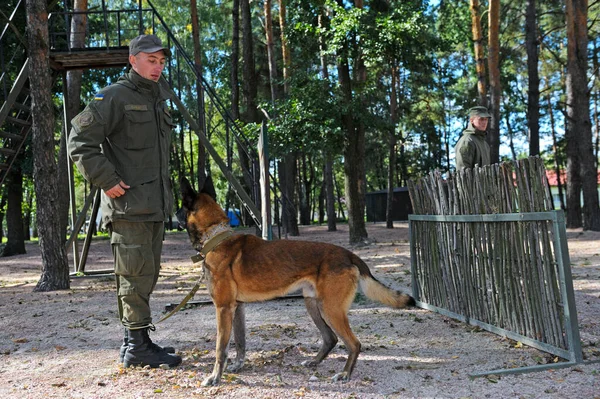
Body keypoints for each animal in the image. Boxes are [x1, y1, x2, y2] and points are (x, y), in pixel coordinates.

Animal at [177, 177, 412, 386]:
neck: (215, 237)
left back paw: (345, 374)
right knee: (331, 339)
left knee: (354, 343)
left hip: (330, 309)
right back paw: (314, 362)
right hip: (314, 305)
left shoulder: (223, 308)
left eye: (181, 206)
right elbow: (240, 342)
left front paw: (215, 378)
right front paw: (237, 366)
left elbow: (220, 348)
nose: (174, 213)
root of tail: (349, 254)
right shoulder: (237, 308)